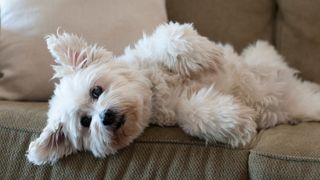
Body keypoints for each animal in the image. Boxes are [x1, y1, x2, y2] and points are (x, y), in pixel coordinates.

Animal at [26, 22, 320, 165]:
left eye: (96, 91)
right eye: (85, 122)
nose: (105, 117)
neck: (156, 91)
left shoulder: (159, 47)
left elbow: (172, 38)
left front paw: (205, 55)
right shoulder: (178, 111)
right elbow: (193, 113)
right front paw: (237, 121)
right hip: (301, 103)